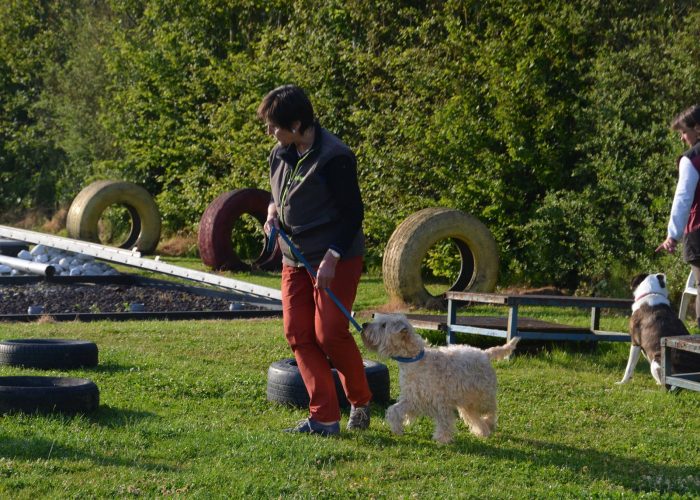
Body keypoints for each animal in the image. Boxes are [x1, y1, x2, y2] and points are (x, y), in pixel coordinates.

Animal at [360, 314, 520, 444]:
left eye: (384, 325)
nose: (364, 325)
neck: (414, 360)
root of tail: (485, 354)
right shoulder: (413, 397)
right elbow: (394, 410)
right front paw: (396, 428)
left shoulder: (440, 399)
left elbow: (444, 420)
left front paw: (442, 438)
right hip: (467, 403)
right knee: (474, 416)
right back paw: (482, 431)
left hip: (482, 396)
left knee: (491, 410)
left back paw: (489, 425)